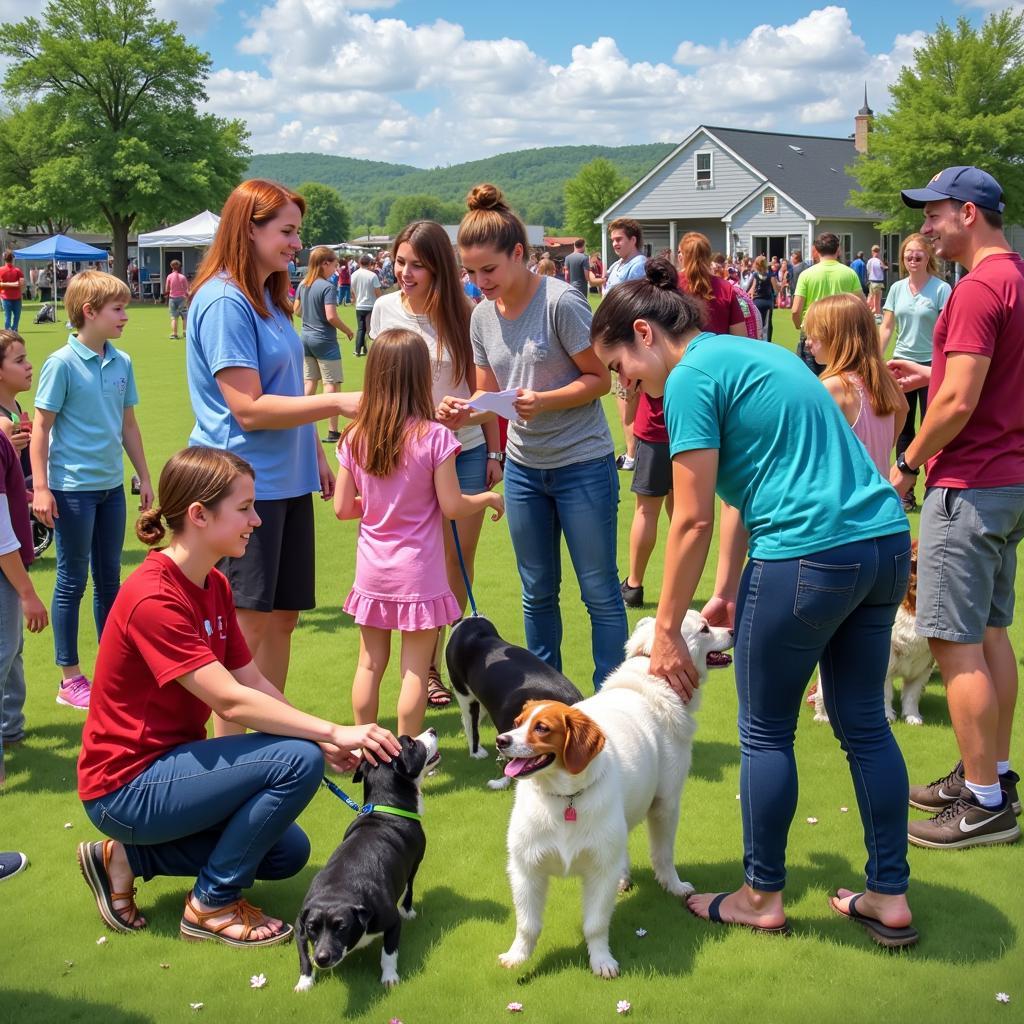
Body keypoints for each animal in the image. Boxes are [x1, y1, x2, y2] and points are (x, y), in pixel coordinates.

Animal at [296, 729, 440, 991]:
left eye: (341, 927)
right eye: (411, 742)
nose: (432, 730)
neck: (385, 806)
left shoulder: (391, 920)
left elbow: (388, 953)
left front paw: (389, 976)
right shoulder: (301, 924)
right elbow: (303, 954)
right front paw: (305, 980)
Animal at [493, 610, 729, 978]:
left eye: (542, 728)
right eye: (705, 628)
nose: (732, 629)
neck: (565, 797)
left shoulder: (625, 835)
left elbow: (596, 921)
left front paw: (601, 960)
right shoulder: (526, 867)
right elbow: (527, 923)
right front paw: (518, 956)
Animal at [815, 540, 937, 724]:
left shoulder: (924, 664)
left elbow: (912, 694)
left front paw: (912, 717)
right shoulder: (885, 659)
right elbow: (884, 693)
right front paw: (887, 716)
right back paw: (822, 716)